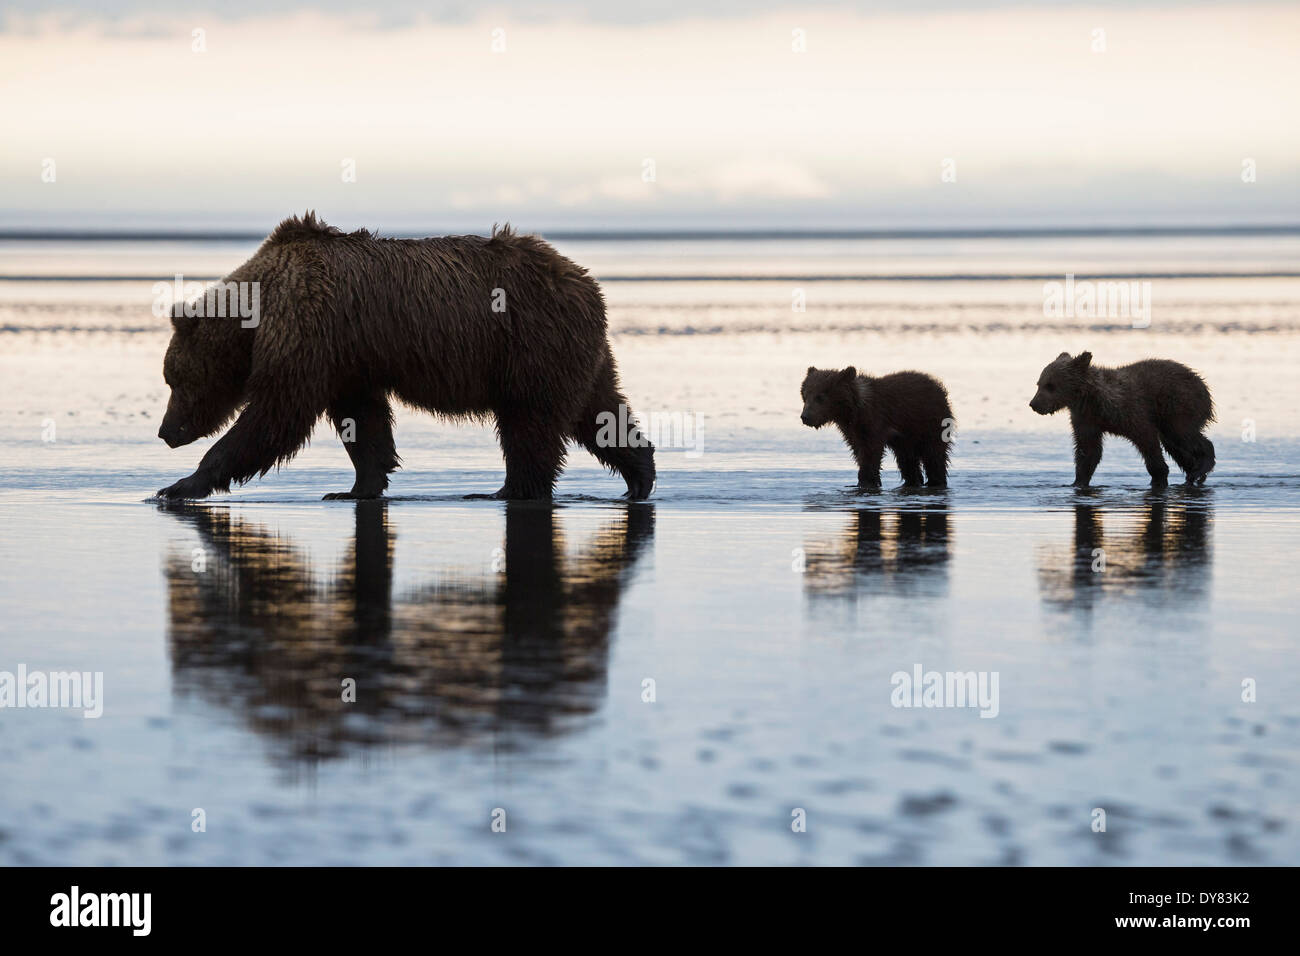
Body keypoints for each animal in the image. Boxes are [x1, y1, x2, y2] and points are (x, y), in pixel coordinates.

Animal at [156, 213, 656, 501]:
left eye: (174, 380)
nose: (166, 431)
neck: (259, 313)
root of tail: (585, 283)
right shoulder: (347, 358)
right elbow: (363, 421)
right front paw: (356, 487)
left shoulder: (309, 331)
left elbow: (276, 414)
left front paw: (178, 485)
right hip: (578, 353)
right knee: (599, 411)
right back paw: (641, 476)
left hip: (530, 344)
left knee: (529, 422)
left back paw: (507, 490)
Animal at [800, 366, 954, 488]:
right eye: (805, 396)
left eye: (820, 397)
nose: (805, 417)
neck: (853, 411)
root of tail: (937, 386)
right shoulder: (852, 431)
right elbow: (859, 450)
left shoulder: (875, 421)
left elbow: (871, 451)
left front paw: (866, 481)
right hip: (907, 437)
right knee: (907, 459)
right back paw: (913, 481)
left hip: (930, 424)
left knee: (934, 455)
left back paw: (935, 481)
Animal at [1029, 351, 1215, 489]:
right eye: (1039, 383)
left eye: (1051, 386)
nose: (1034, 404)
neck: (1093, 402)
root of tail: (1203, 384)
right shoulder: (1086, 420)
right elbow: (1088, 450)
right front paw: (1078, 481)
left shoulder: (1130, 411)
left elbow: (1147, 440)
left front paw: (1158, 476)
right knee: (1175, 446)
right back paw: (1193, 472)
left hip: (1178, 405)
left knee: (1183, 434)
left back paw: (1199, 468)